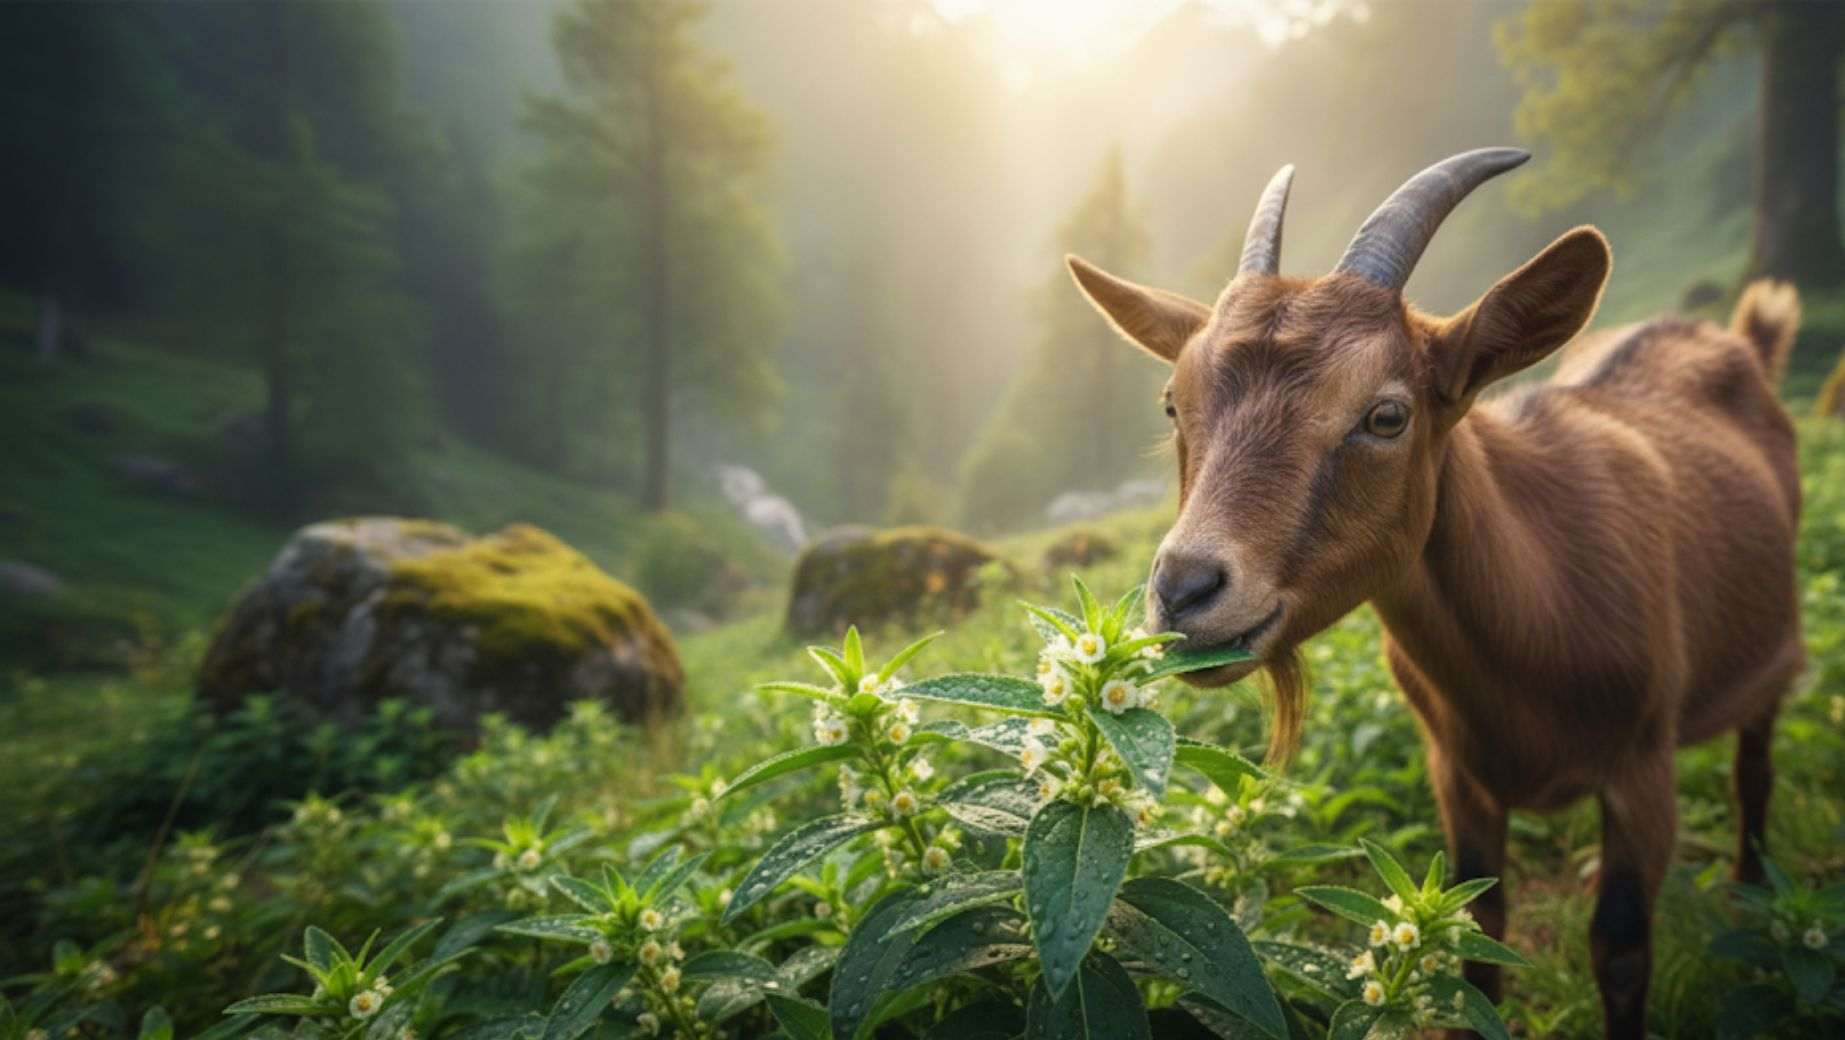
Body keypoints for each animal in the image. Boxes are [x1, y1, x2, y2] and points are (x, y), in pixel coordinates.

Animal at [1066, 149, 1804, 1039]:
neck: (1540, 617)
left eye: (1386, 415)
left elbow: (1621, 950)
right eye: (1174, 403)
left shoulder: (1640, 767)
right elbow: (1476, 935)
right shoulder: (1456, 774)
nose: (1183, 590)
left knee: (1753, 773)